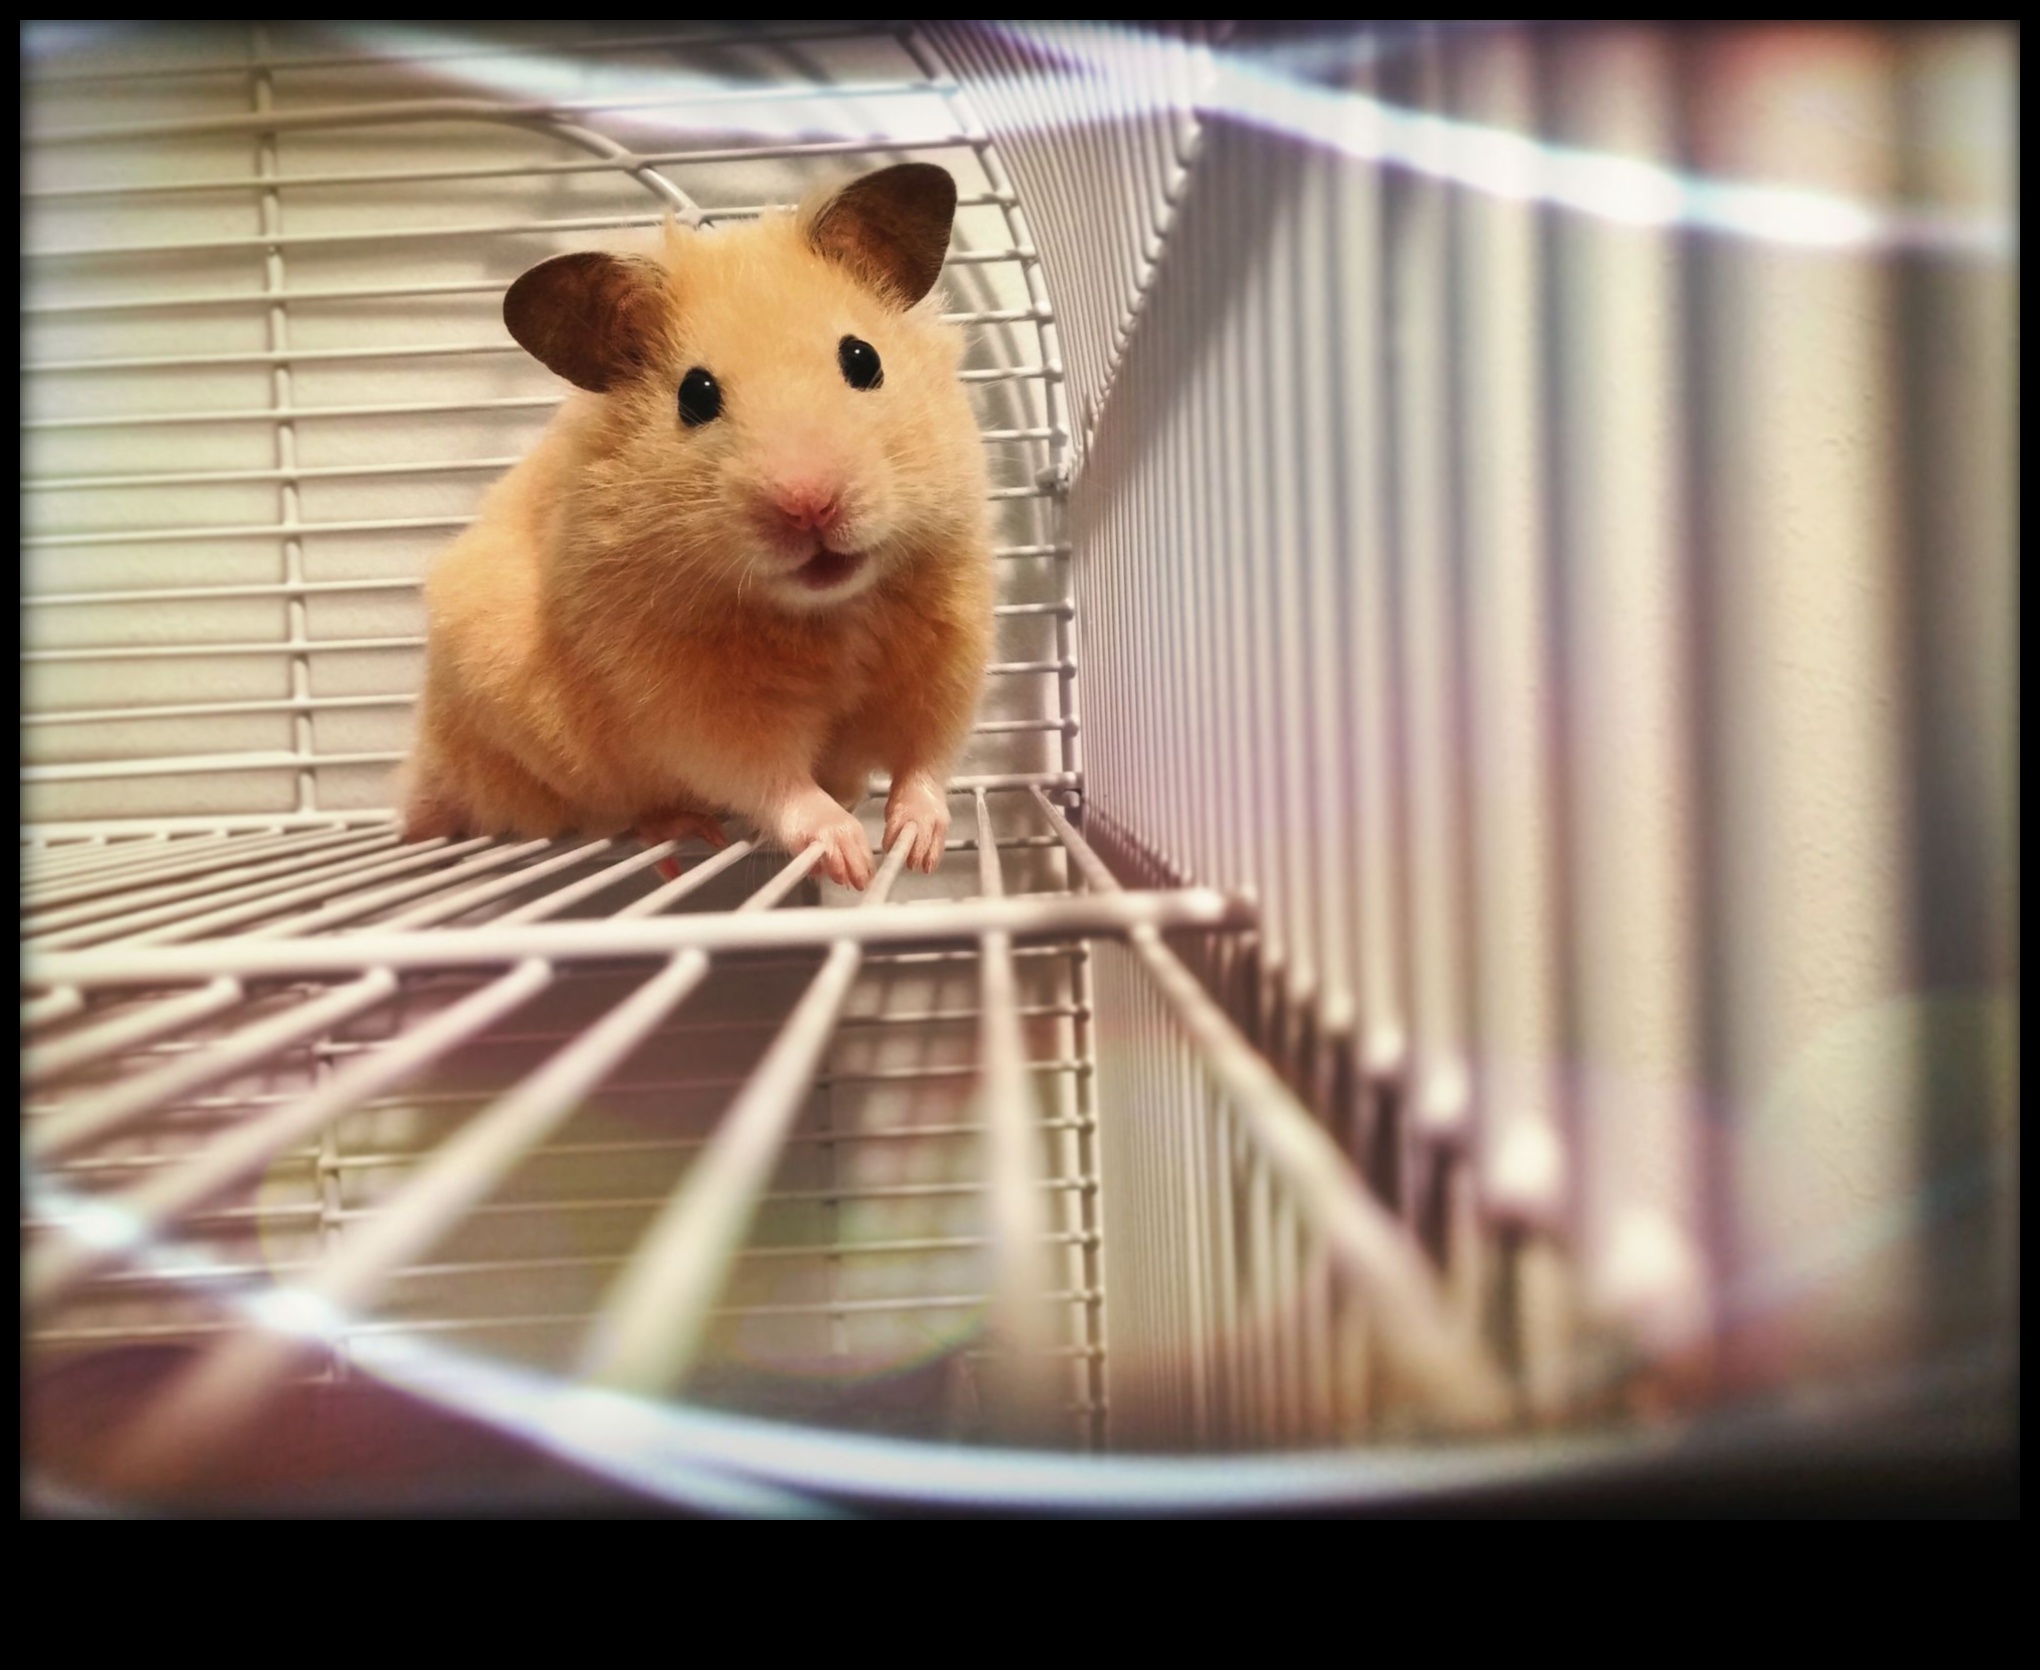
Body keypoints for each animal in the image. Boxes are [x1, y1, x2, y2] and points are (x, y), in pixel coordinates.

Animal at [398, 163, 994, 889]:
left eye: (863, 359)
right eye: (696, 396)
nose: (810, 506)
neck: (829, 611)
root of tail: (434, 767)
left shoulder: (948, 650)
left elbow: (926, 759)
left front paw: (921, 846)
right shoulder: (692, 705)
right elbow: (776, 782)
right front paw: (849, 860)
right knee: (622, 812)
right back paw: (683, 837)